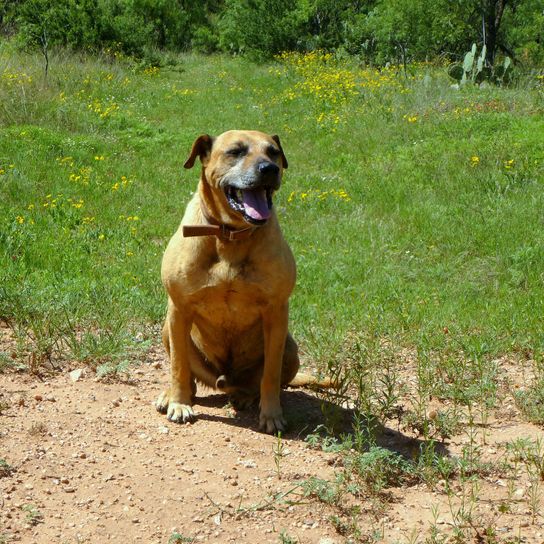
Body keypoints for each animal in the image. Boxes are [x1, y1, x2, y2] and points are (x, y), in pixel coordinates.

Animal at [155, 130, 304, 432]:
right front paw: (179, 403)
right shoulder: (179, 308)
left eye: (273, 152)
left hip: (290, 348)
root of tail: (225, 382)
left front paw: (271, 414)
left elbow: (270, 374)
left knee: (257, 382)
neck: (230, 235)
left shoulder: (276, 312)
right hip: (168, 327)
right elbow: (178, 365)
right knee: (187, 373)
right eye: (235, 151)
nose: (269, 169)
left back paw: (246, 397)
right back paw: (174, 395)